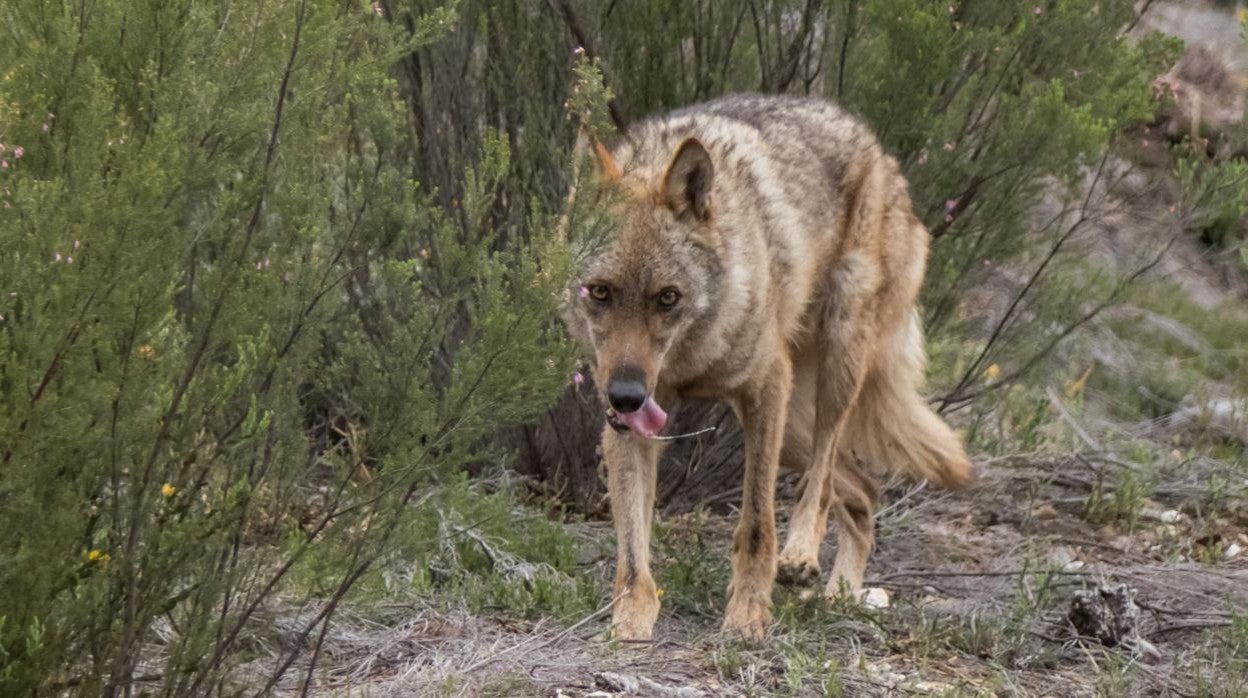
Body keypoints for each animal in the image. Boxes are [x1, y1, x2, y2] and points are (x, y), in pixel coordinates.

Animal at [566, 94, 973, 644]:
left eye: (667, 298)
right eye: (600, 292)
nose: (626, 395)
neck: (691, 357)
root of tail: (880, 152)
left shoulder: (764, 388)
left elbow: (758, 522)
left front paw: (748, 616)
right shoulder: (629, 426)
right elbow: (632, 546)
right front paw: (630, 619)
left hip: (833, 369)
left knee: (822, 481)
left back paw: (801, 556)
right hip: (793, 428)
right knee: (864, 491)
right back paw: (842, 595)